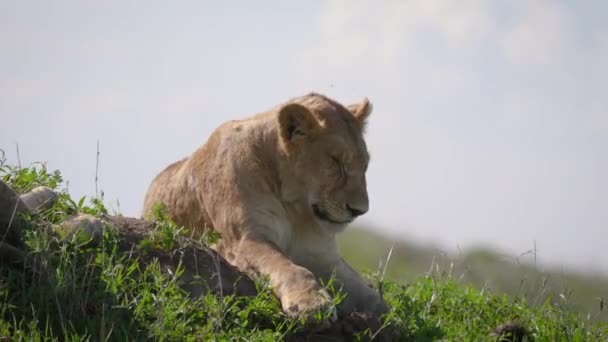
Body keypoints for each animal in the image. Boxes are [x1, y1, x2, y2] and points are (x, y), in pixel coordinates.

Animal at [142, 92, 388, 322]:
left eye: (364, 165)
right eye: (336, 162)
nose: (360, 210)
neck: (296, 208)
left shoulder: (321, 255)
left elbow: (365, 290)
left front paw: (387, 316)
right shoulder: (245, 239)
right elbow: (289, 268)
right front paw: (311, 304)